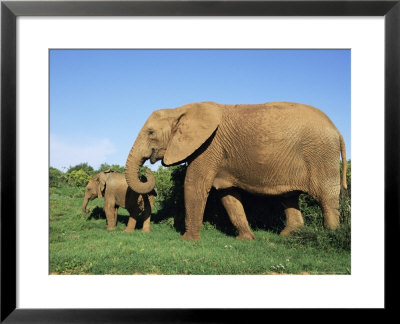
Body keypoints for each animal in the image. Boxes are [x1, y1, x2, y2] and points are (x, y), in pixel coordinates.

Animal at [125, 101, 346, 240]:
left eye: (150, 133)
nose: (146, 170)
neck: (180, 109)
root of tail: (337, 130)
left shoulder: (209, 146)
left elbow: (194, 185)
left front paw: (187, 241)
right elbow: (227, 195)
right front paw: (247, 240)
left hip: (321, 154)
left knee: (326, 196)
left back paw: (331, 235)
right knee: (289, 196)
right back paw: (287, 237)